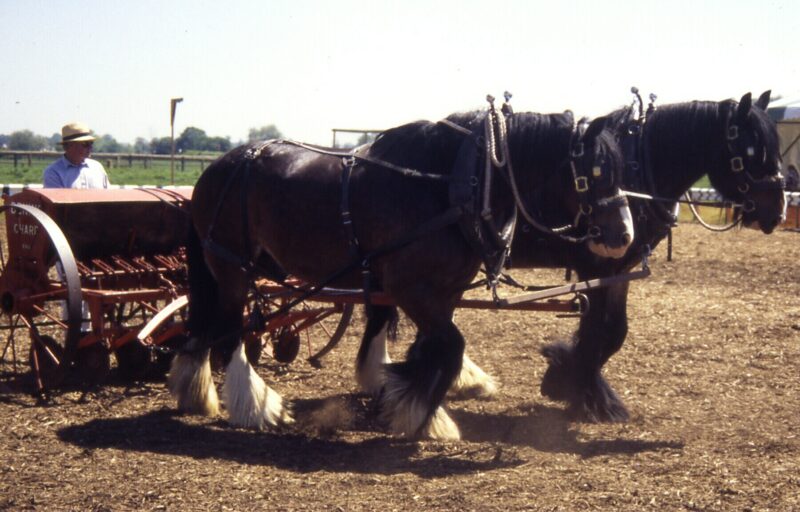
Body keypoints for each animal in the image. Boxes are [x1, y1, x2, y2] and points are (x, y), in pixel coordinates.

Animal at [170, 101, 636, 440]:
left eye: (622, 168)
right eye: (596, 171)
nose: (624, 236)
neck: (454, 184)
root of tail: (216, 169)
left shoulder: (440, 291)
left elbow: (432, 347)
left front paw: (401, 393)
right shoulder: (411, 288)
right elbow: (448, 346)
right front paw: (418, 412)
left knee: (209, 325)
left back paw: (194, 388)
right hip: (232, 268)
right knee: (230, 332)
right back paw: (253, 404)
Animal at [512, 90, 788, 422]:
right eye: (752, 152)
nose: (778, 212)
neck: (637, 173)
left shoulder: (621, 269)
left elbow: (615, 331)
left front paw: (564, 377)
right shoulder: (595, 267)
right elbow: (595, 331)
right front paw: (587, 396)